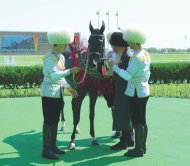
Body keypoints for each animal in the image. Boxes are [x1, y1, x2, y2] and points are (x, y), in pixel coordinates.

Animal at [63, 21, 114, 150]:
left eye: (101, 41)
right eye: (90, 41)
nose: (92, 64)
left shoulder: (93, 93)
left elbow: (92, 115)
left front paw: (93, 138)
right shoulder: (81, 92)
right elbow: (77, 116)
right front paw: (72, 141)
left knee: (73, 103)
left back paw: (76, 128)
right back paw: (64, 125)